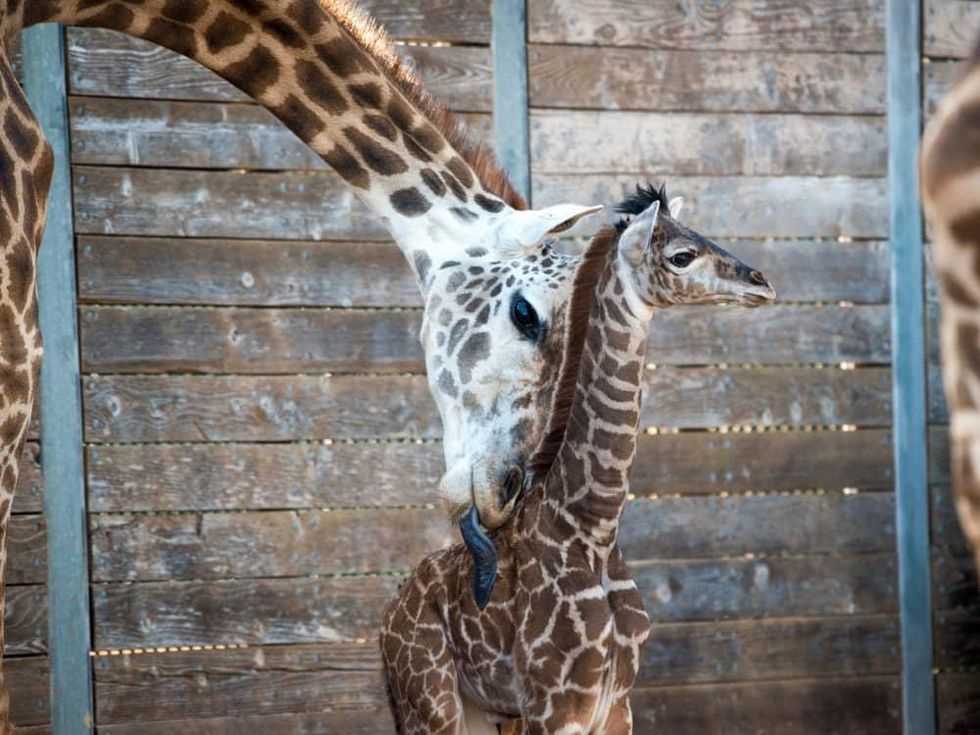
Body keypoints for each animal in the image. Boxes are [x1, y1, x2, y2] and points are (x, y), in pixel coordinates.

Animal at [380, 184, 775, 735]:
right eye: (682, 255)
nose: (761, 282)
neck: (593, 524)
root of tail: (386, 619)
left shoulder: (616, 702)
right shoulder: (556, 705)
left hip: (484, 712)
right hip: (432, 704)